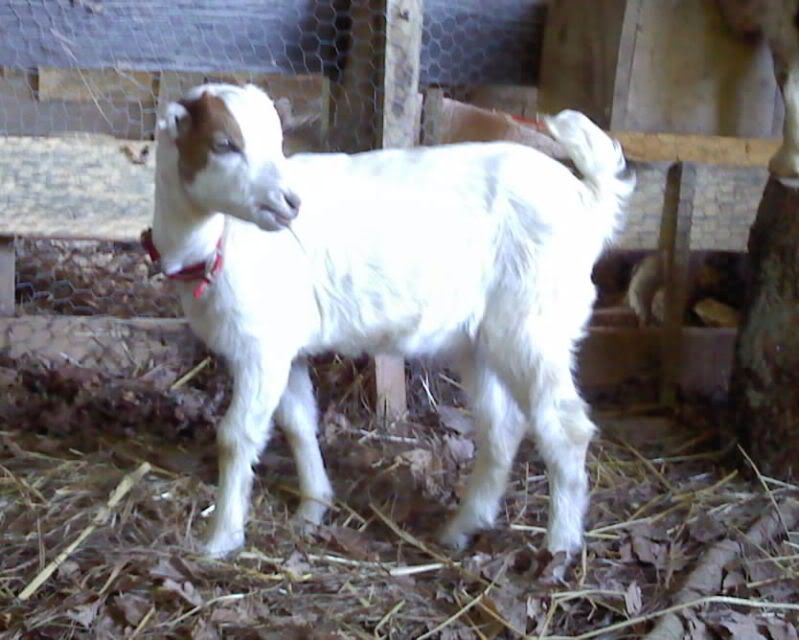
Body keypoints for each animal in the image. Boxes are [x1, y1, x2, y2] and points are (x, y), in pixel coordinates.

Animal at [148, 82, 635, 560]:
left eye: (278, 142)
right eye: (223, 144)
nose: (290, 203)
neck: (215, 241)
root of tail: (587, 200)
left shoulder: (259, 346)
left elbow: (236, 436)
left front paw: (220, 538)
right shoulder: (282, 346)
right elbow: (300, 423)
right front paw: (312, 509)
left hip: (534, 322)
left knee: (566, 427)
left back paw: (560, 547)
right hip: (482, 339)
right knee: (502, 428)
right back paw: (461, 528)